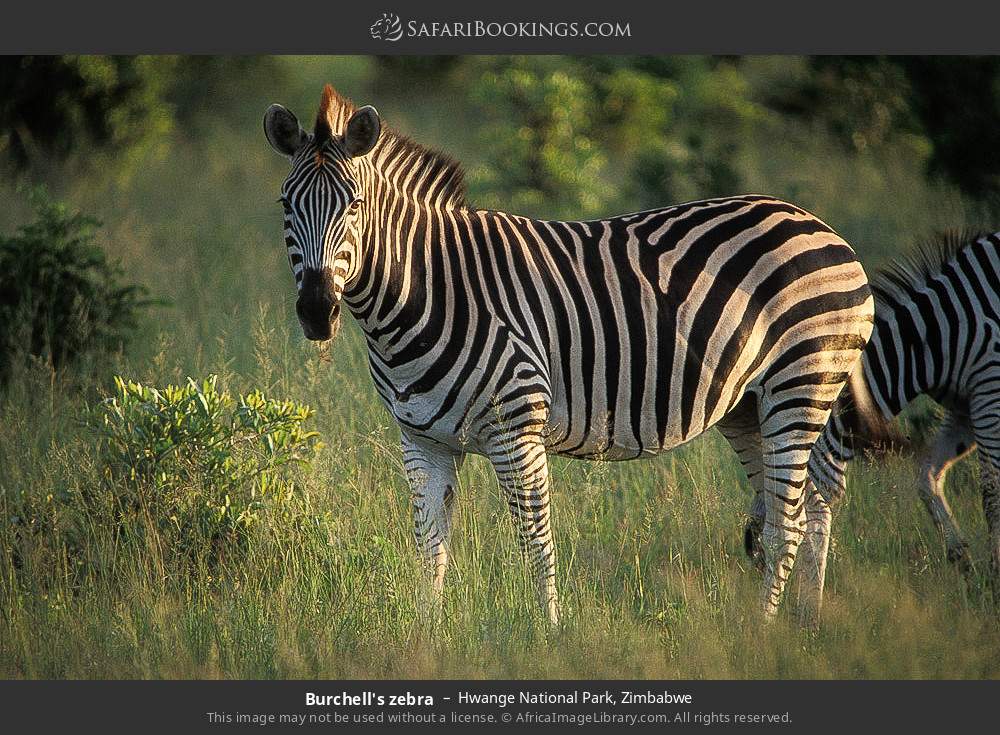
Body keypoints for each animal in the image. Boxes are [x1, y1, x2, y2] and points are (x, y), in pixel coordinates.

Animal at [263, 84, 875, 625]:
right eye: (285, 206)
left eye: (355, 205)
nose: (316, 310)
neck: (428, 290)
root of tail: (821, 226)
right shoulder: (423, 440)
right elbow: (430, 547)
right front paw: (426, 638)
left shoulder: (516, 428)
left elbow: (535, 540)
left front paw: (549, 634)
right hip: (750, 407)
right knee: (808, 510)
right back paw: (805, 626)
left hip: (801, 383)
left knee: (786, 524)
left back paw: (764, 632)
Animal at [744, 230, 1000, 591]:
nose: (751, 542)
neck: (937, 337)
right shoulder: (963, 408)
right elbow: (927, 475)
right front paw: (963, 559)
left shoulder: (989, 389)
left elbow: (991, 491)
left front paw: (994, 568)